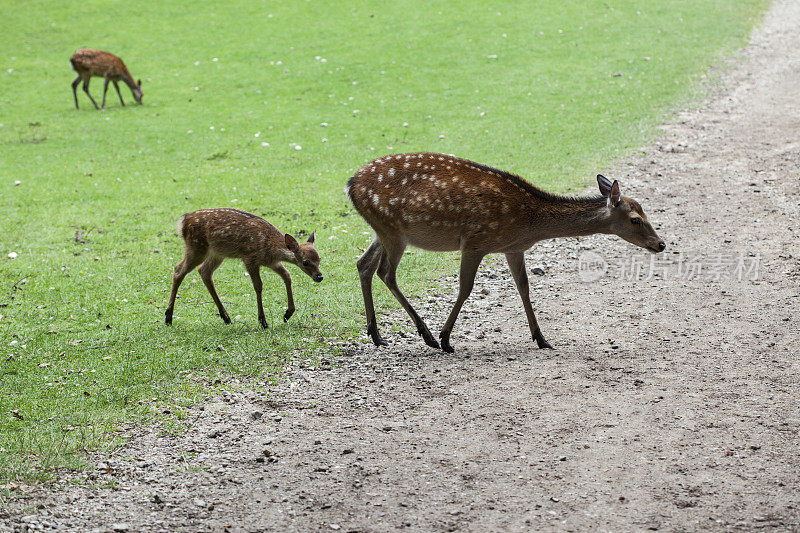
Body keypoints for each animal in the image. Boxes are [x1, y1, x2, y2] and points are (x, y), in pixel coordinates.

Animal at [164, 208, 324, 328]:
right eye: (305, 262)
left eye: (319, 258)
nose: (320, 276)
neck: (270, 248)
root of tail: (183, 221)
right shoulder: (250, 258)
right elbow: (258, 286)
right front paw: (263, 321)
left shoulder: (272, 262)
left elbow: (287, 275)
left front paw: (288, 314)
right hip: (196, 247)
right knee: (178, 269)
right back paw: (168, 317)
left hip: (217, 253)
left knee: (204, 271)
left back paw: (226, 317)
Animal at [346, 153, 664, 354]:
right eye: (635, 219)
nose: (661, 244)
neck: (530, 223)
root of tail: (350, 186)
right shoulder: (476, 241)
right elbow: (465, 289)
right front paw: (447, 339)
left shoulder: (513, 248)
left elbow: (523, 287)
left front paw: (542, 339)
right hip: (393, 230)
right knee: (385, 272)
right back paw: (428, 337)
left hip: (384, 230)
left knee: (363, 264)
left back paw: (376, 335)